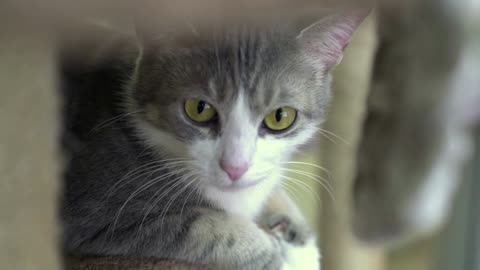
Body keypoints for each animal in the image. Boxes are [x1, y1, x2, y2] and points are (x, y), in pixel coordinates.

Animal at [61, 11, 364, 270]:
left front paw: (297, 235)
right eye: (199, 109)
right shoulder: (99, 209)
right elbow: (202, 227)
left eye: (280, 117)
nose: (235, 167)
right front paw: (280, 255)